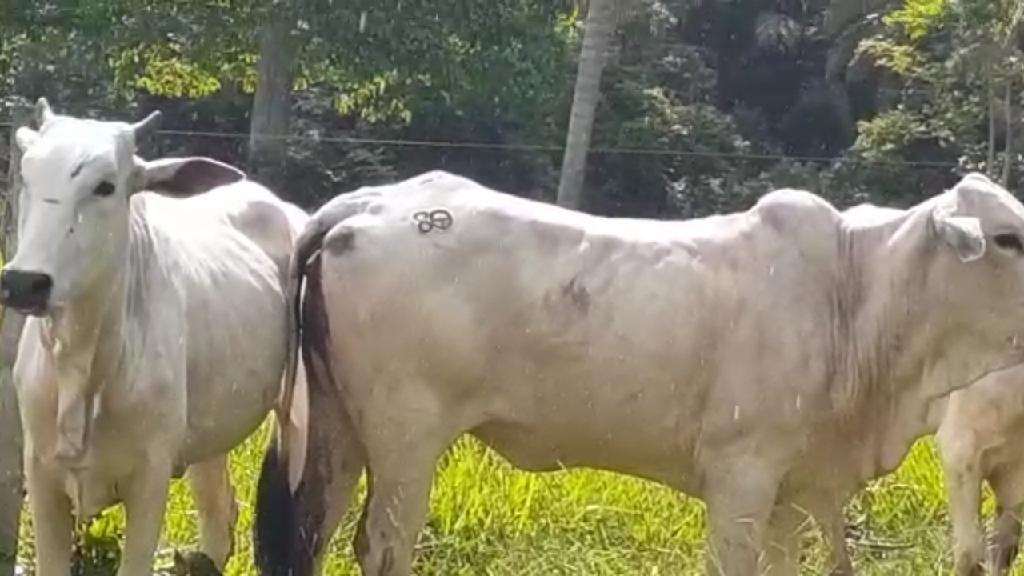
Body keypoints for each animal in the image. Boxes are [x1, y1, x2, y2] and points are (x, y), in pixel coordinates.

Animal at [4, 99, 305, 573]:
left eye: (105, 186)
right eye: (28, 178)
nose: (23, 282)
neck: (84, 364)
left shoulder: (150, 479)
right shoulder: (42, 474)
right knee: (219, 514)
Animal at [256, 168, 1024, 569]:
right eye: (1008, 238)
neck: (855, 292)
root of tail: (365, 203)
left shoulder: (798, 489)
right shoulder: (742, 474)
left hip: (337, 429)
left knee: (310, 535)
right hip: (406, 436)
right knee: (382, 546)